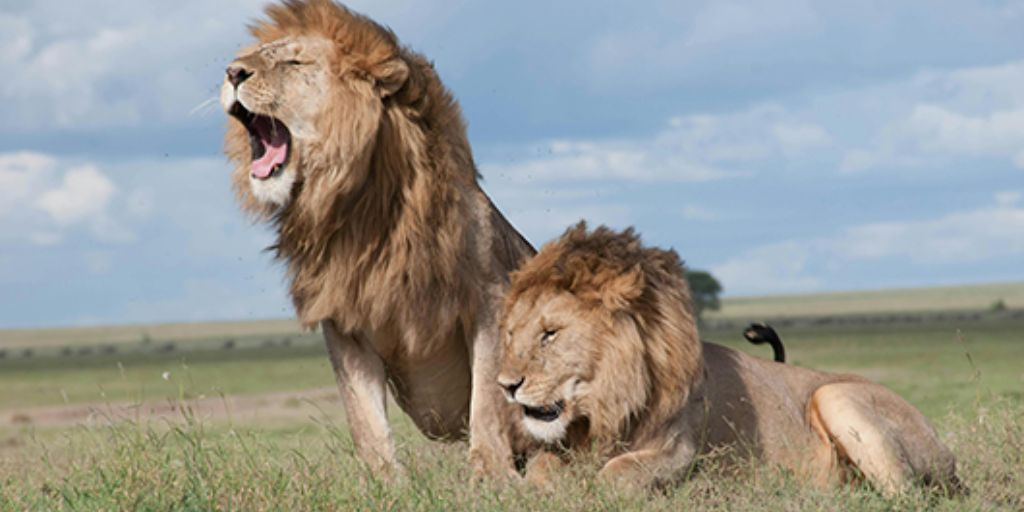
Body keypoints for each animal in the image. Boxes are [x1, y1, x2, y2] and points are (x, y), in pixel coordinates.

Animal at [220, 0, 534, 478]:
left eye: (294, 63)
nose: (232, 72)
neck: (361, 212)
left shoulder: (489, 297)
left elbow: (487, 399)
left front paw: (491, 475)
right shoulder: (343, 318)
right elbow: (363, 415)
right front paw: (384, 481)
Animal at [497, 222, 961, 495]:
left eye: (550, 334)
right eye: (511, 334)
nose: (506, 386)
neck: (607, 405)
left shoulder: (680, 451)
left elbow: (617, 475)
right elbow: (540, 469)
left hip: (836, 395)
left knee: (906, 496)